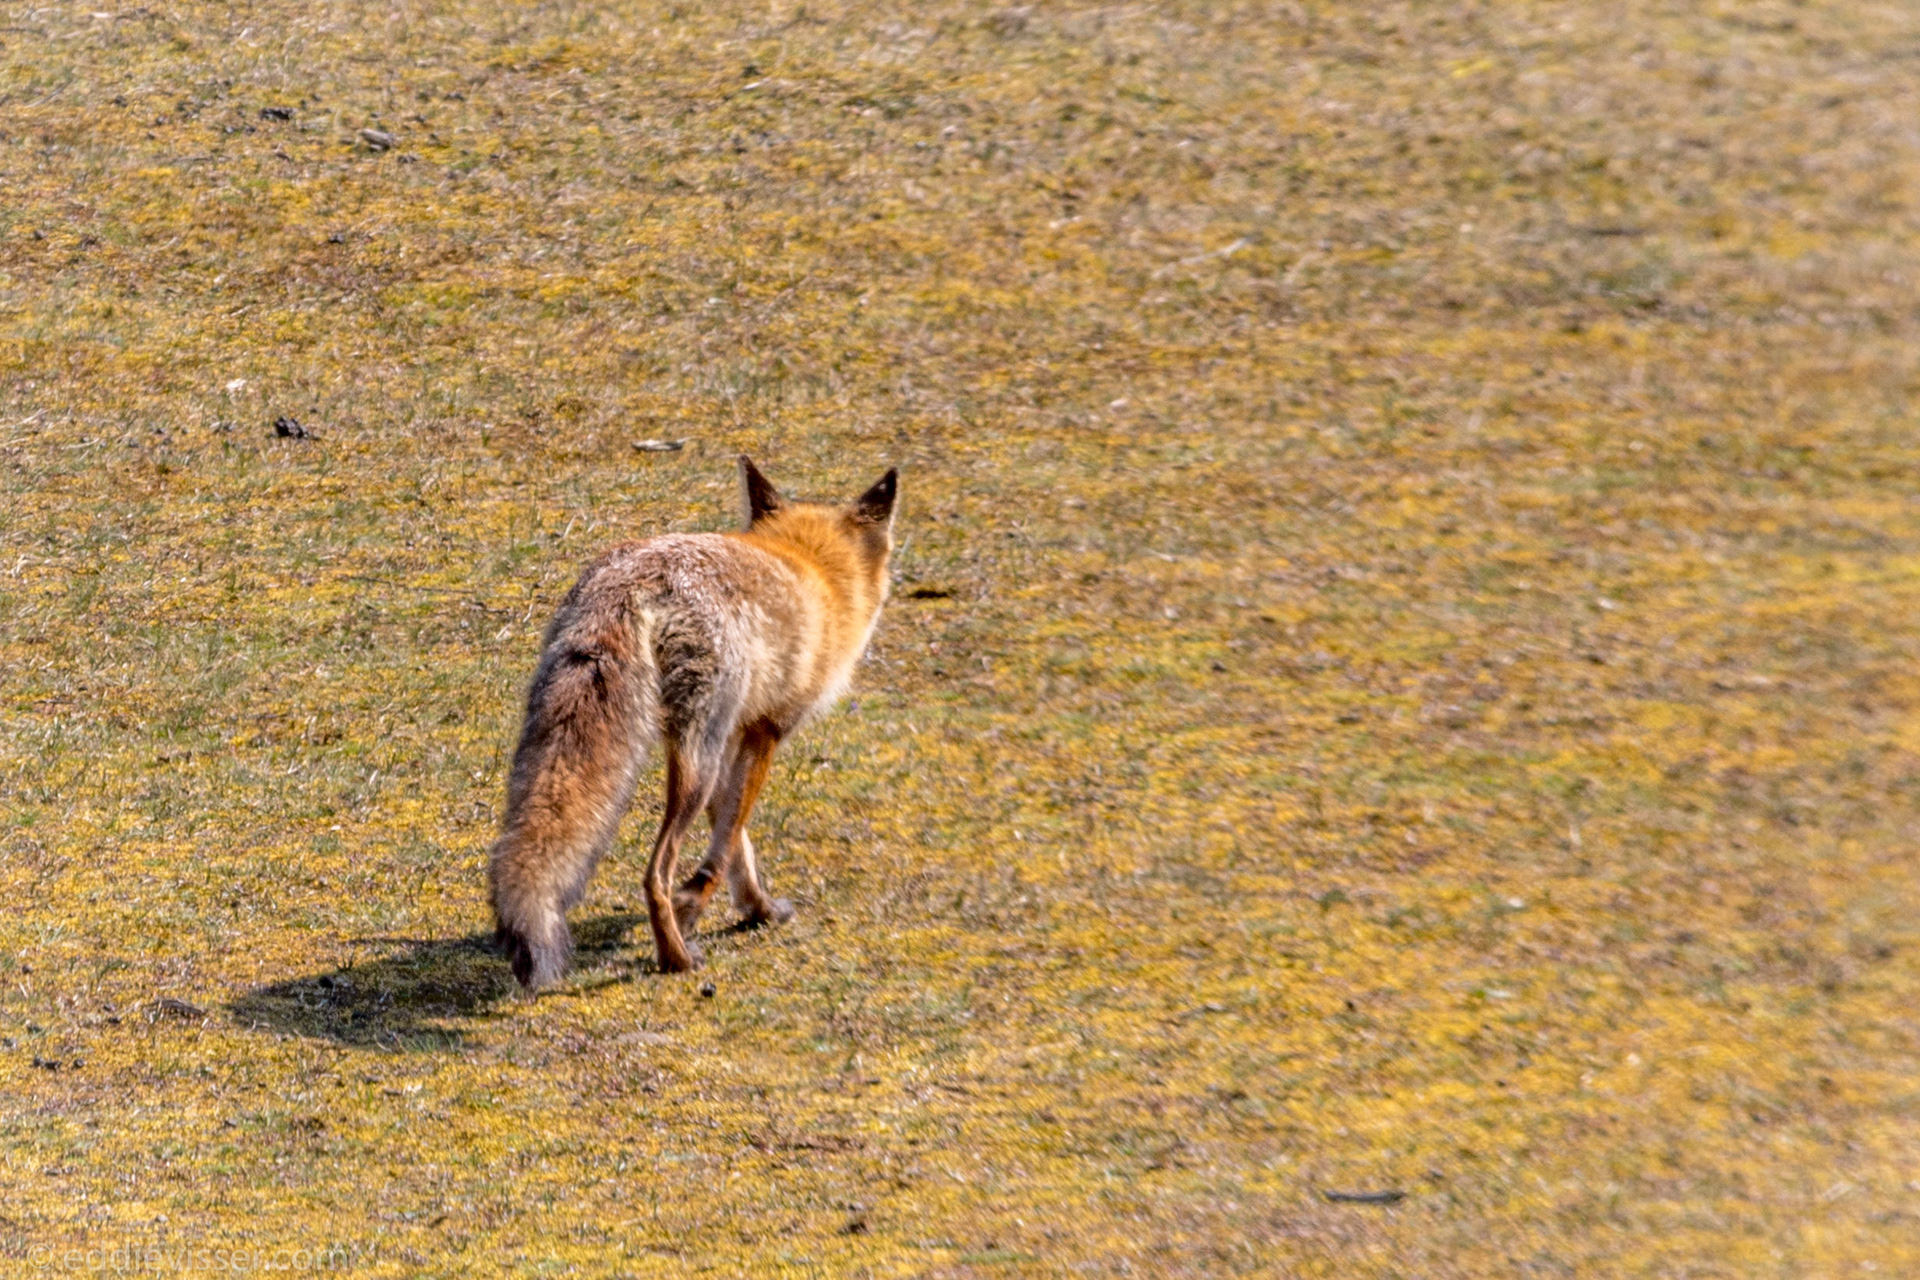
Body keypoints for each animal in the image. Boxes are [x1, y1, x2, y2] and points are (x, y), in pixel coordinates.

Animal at [487, 456, 898, 988]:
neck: (813, 569)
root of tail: (635, 576)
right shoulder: (765, 731)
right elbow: (725, 844)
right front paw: (699, 905)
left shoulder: (733, 736)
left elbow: (738, 845)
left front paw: (757, 908)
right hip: (695, 759)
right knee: (655, 874)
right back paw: (675, 957)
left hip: (671, 743)